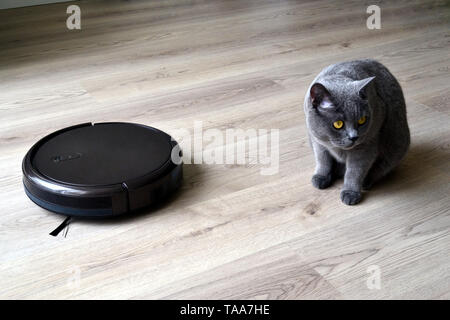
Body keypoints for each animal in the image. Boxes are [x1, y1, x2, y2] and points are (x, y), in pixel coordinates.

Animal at [304, 59, 410, 205]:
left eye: (362, 120)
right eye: (338, 124)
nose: (354, 137)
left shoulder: (366, 146)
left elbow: (355, 171)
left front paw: (350, 192)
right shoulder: (318, 141)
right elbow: (322, 160)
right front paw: (321, 176)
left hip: (396, 144)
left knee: (382, 168)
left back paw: (366, 182)